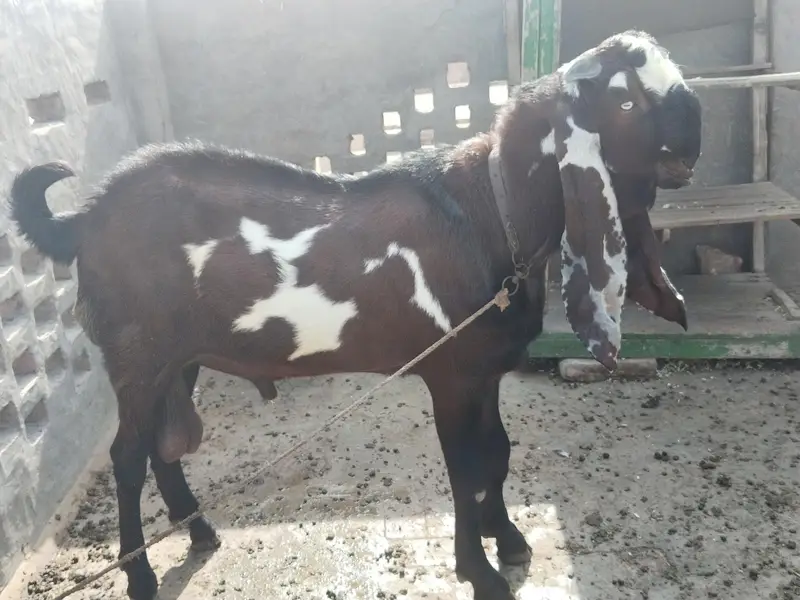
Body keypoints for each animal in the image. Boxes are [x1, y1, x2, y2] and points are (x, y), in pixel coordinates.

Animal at [9, 30, 700, 600]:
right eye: (626, 103)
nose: (695, 124)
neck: (492, 213)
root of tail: (83, 219)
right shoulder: (449, 375)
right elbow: (465, 467)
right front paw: (480, 574)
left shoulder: (484, 372)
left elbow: (497, 453)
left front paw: (509, 542)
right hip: (135, 353)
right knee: (127, 458)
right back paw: (142, 576)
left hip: (177, 357)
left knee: (162, 443)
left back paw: (200, 530)